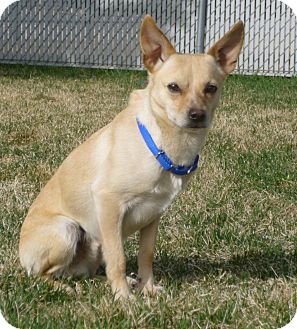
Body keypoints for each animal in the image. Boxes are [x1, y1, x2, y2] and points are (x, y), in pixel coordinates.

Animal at [18, 15, 243, 298]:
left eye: (211, 88)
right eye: (173, 87)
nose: (197, 115)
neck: (164, 143)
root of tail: (20, 255)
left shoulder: (153, 215)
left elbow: (145, 255)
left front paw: (147, 288)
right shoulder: (109, 204)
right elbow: (119, 258)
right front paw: (123, 298)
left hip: (93, 247)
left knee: (85, 272)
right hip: (67, 230)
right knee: (41, 275)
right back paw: (67, 288)